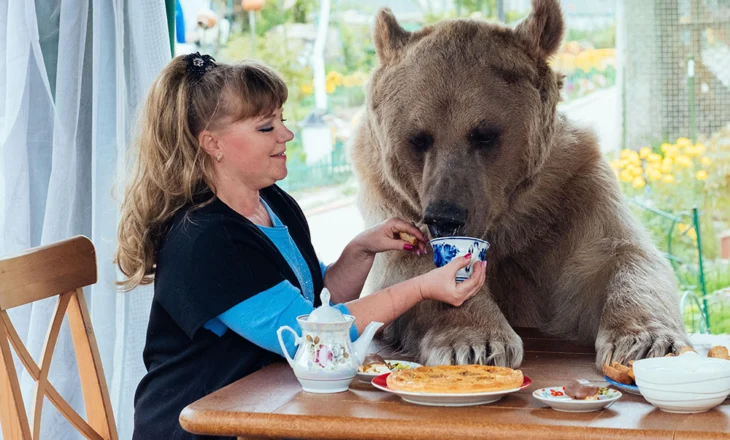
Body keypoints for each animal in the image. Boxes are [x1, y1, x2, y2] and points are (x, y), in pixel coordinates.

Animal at [350, 0, 692, 368]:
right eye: (418, 138)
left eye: (484, 134)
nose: (444, 218)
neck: (505, 218)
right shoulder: (391, 195)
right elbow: (410, 268)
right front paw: (475, 342)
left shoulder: (571, 189)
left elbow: (621, 255)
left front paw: (646, 341)